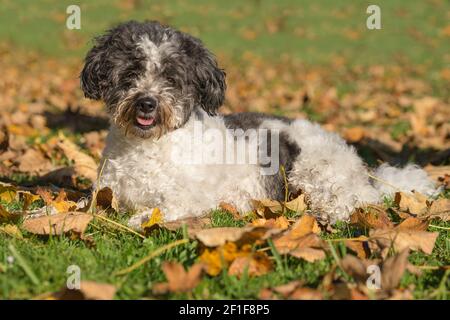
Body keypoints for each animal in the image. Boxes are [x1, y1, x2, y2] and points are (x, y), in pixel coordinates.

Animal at [80, 20, 436, 229]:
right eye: (130, 72)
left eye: (171, 77)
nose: (147, 102)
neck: (148, 146)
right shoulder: (105, 191)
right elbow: (84, 204)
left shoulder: (193, 198)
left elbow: (162, 208)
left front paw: (140, 218)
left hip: (316, 170)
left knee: (353, 199)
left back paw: (329, 214)